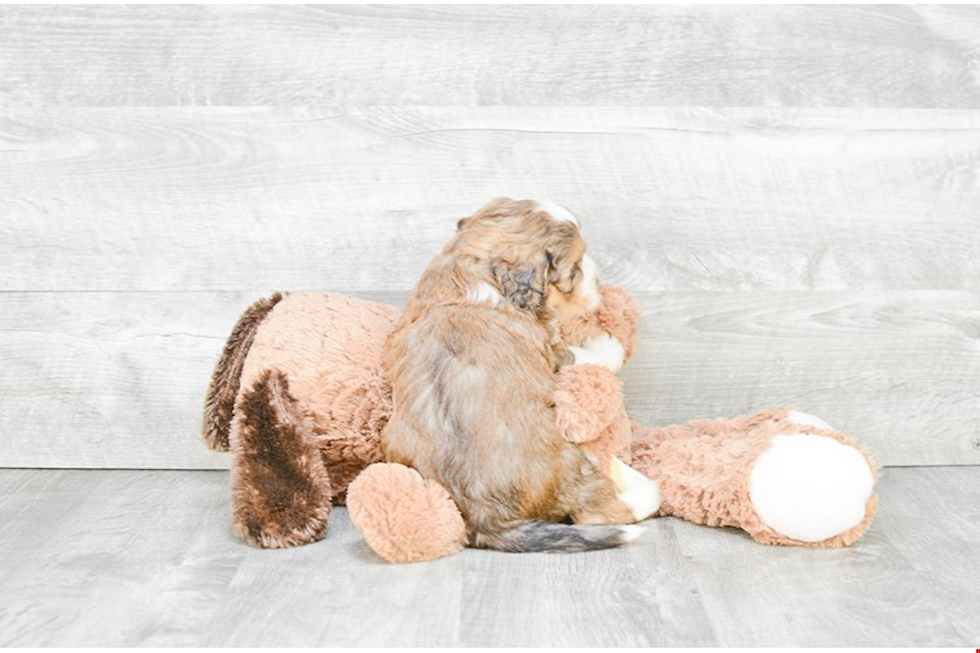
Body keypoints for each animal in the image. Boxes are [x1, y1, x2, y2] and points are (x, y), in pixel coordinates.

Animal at [382, 197, 660, 552]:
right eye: (574, 269)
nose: (598, 279)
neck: (470, 271)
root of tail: (487, 518)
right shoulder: (554, 349)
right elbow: (583, 355)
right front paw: (606, 343)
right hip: (573, 462)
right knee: (600, 509)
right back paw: (645, 490)